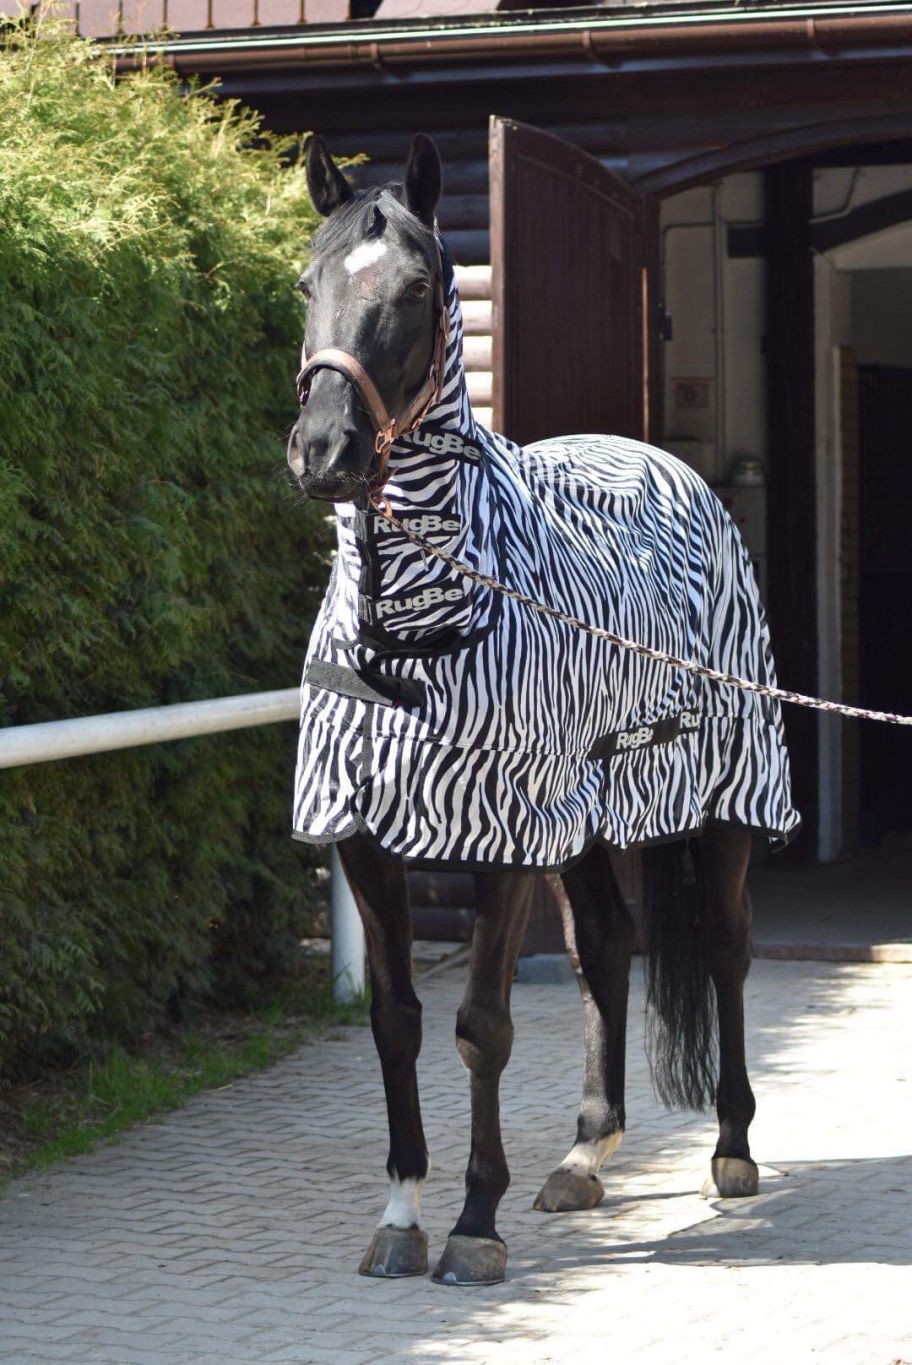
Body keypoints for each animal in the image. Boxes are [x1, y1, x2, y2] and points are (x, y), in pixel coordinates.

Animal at [286, 133, 800, 1286]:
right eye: (307, 282)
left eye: (419, 288)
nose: (324, 451)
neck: (413, 632)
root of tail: (665, 463)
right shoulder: (367, 837)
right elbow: (396, 1021)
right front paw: (402, 1212)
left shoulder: (506, 835)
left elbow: (482, 1025)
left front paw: (474, 1224)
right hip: (592, 811)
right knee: (605, 942)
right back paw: (583, 1154)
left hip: (725, 796)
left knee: (730, 948)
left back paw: (733, 1149)